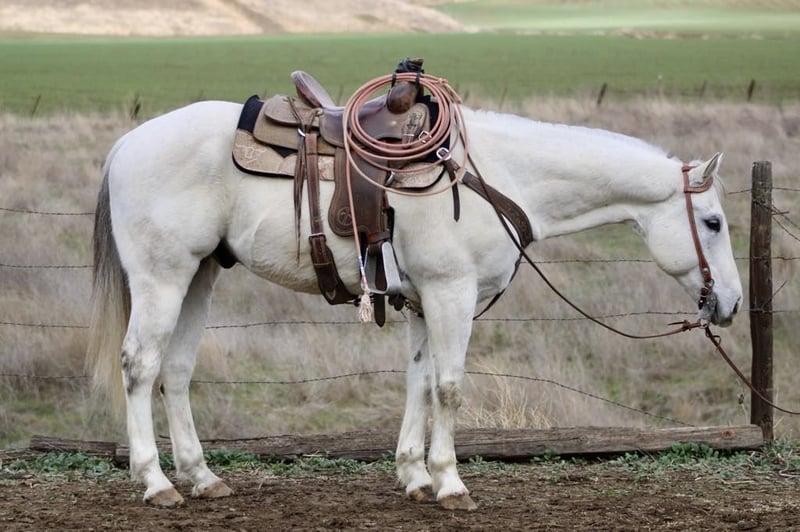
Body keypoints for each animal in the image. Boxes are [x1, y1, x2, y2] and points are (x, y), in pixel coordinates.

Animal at [86, 97, 743, 511]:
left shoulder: (426, 301)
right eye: (712, 222)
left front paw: (414, 476)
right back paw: (156, 483)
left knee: (176, 371)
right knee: (140, 366)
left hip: (198, 275)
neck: (493, 177)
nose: (731, 303)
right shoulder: (452, 294)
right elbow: (449, 388)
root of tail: (126, 144)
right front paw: (451, 484)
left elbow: (420, 384)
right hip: (162, 278)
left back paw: (201, 478)